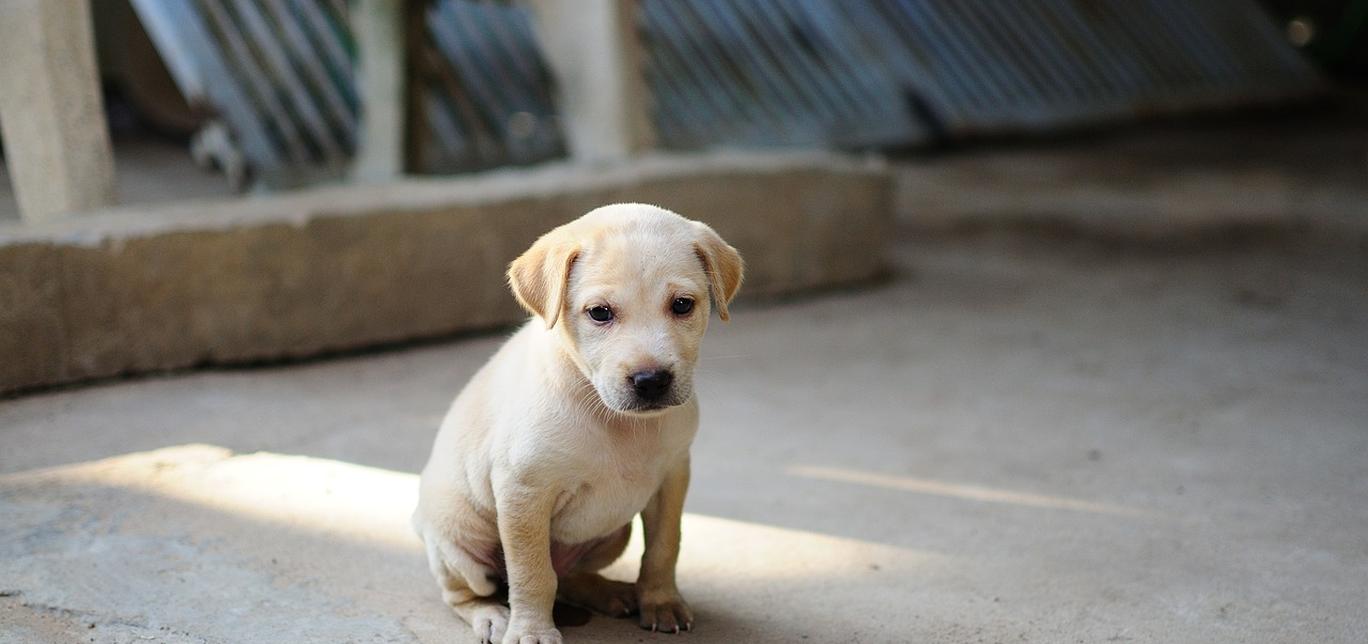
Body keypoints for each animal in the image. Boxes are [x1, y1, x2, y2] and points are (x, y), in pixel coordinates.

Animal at [410, 203, 744, 642]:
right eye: (600, 313)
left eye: (682, 305)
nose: (651, 381)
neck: (616, 422)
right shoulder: (523, 491)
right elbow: (532, 572)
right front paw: (532, 631)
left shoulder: (672, 475)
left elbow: (664, 546)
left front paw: (661, 601)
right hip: (460, 539)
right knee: (470, 591)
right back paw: (492, 615)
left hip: (613, 533)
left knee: (568, 578)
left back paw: (608, 592)